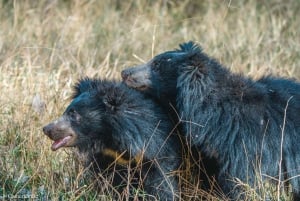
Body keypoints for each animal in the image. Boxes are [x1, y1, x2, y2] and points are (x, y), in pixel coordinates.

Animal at [42, 77, 180, 200]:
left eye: (73, 114)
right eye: (66, 112)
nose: (46, 129)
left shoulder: (155, 149)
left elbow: (161, 182)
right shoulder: (108, 158)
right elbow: (109, 181)